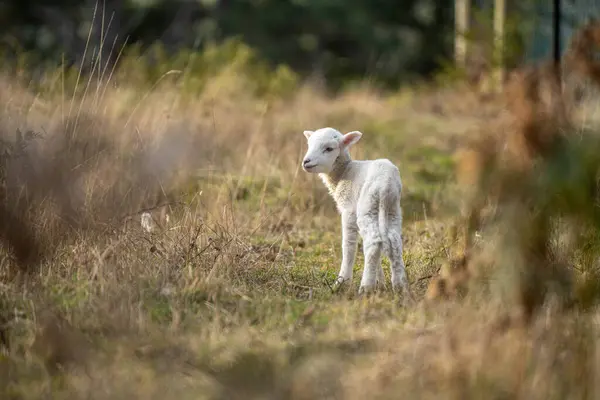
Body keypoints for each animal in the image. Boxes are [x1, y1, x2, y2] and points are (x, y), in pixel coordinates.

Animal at [302, 126, 410, 296]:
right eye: (309, 145)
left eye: (329, 148)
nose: (306, 162)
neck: (344, 172)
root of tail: (386, 185)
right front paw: (380, 283)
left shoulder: (349, 210)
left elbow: (349, 246)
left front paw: (342, 283)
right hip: (392, 210)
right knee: (393, 242)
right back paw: (399, 286)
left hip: (367, 206)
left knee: (373, 243)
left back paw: (365, 287)